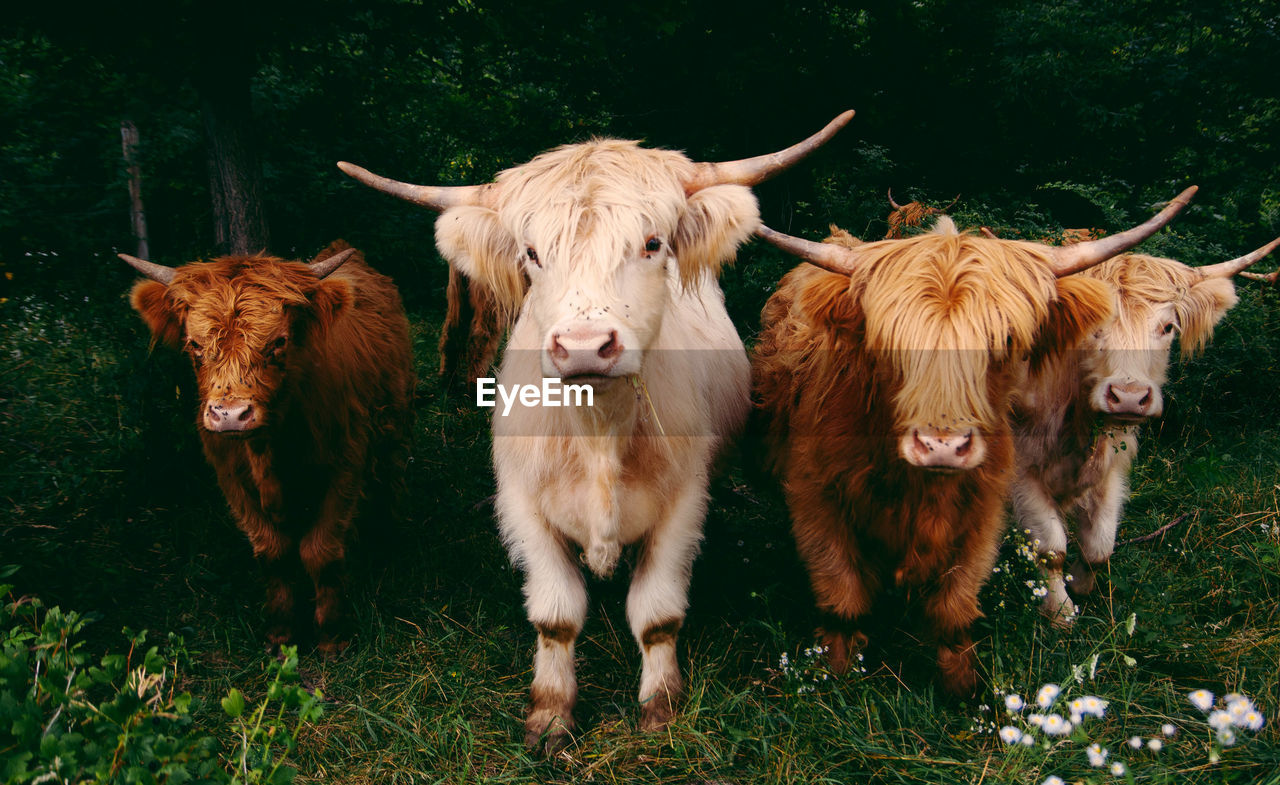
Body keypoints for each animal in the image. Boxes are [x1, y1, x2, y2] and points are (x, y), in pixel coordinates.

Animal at [120, 242, 414, 653]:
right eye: (195, 345)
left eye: (278, 342)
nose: (230, 414)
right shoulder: (231, 478)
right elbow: (272, 552)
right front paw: (281, 633)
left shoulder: (345, 464)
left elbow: (320, 550)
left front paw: (332, 635)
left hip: (393, 423)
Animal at [752, 188, 1192, 691]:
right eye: (889, 339)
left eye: (1005, 338)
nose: (942, 446)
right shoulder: (817, 501)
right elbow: (842, 595)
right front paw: (838, 672)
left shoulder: (984, 510)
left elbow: (955, 606)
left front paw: (963, 685)